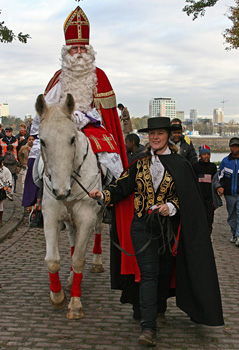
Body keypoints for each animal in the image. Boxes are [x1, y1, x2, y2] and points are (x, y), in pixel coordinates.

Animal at [35, 93, 103, 320]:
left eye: (72, 139)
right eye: (43, 141)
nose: (61, 192)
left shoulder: (87, 217)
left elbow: (78, 259)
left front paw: (74, 303)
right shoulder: (51, 216)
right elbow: (53, 259)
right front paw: (57, 297)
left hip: (98, 213)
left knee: (98, 231)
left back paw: (97, 263)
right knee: (73, 240)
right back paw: (72, 279)